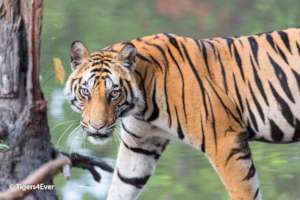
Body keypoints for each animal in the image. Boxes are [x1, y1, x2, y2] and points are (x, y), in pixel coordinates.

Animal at [63, 27, 300, 200]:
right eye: (86, 91)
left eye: (114, 93)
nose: (97, 127)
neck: (141, 106)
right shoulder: (140, 144)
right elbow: (122, 185)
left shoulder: (225, 141)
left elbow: (244, 192)